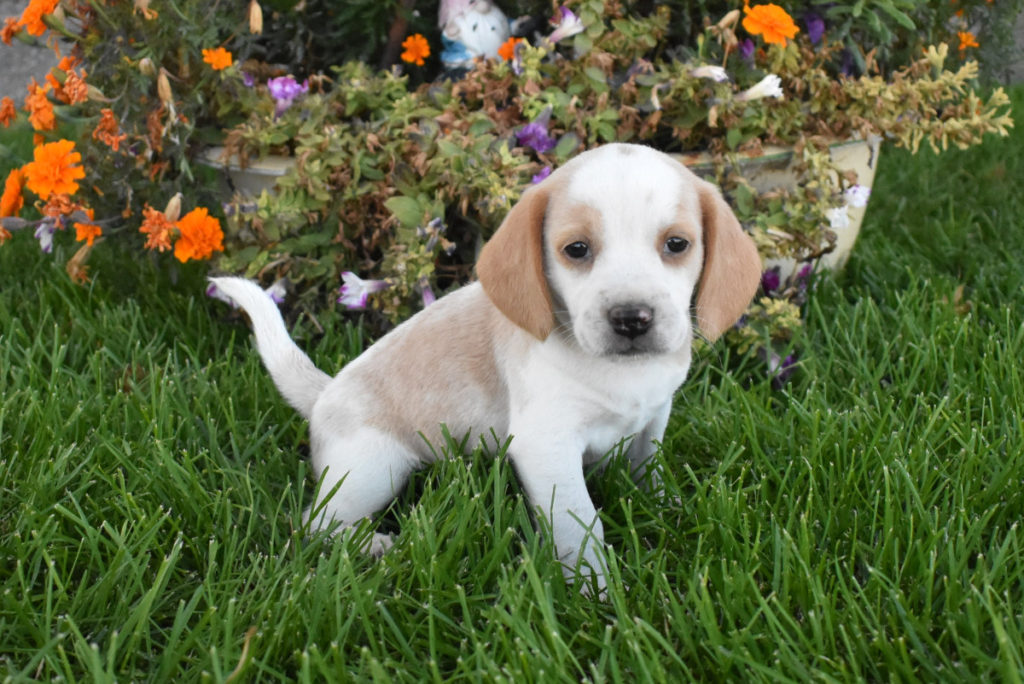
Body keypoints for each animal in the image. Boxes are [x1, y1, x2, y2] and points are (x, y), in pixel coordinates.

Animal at [211, 141, 761, 589]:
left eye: (677, 244)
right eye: (577, 249)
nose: (632, 319)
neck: (621, 373)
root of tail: (324, 392)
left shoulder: (653, 418)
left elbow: (650, 467)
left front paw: (671, 508)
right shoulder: (547, 448)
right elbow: (580, 522)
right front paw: (596, 591)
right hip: (371, 470)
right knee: (314, 525)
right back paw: (374, 545)